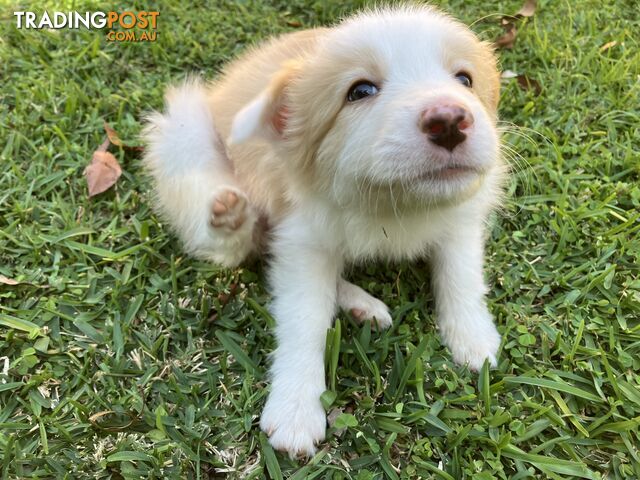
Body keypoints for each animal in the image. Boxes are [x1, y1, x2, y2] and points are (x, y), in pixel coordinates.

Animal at [144, 5, 504, 460]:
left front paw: (473, 337)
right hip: (184, 135)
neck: (390, 203)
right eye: (360, 91)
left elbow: (460, 274)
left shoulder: (460, 218)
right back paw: (230, 216)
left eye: (464, 79)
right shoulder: (301, 240)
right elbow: (305, 318)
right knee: (234, 240)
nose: (450, 120)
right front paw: (296, 407)